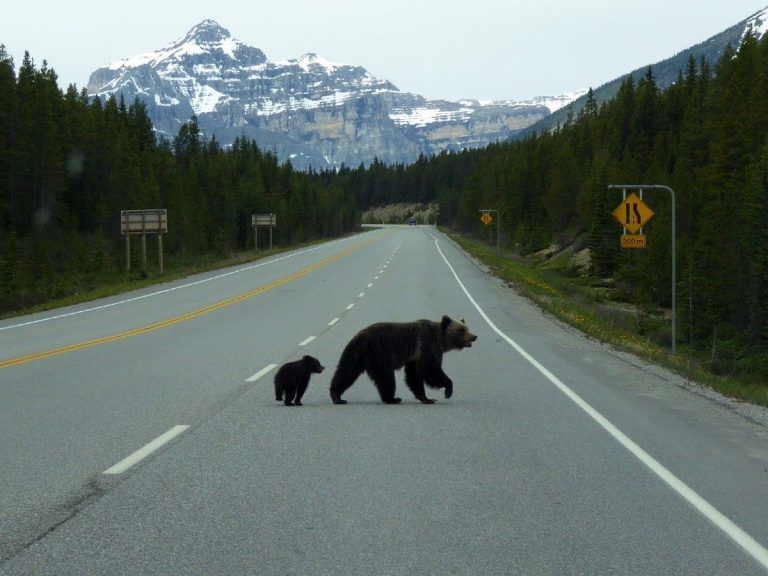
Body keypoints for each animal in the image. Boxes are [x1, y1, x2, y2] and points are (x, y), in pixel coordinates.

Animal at [329, 315, 477, 405]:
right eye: (462, 330)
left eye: (467, 328)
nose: (474, 336)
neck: (441, 340)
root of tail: (359, 336)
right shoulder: (428, 345)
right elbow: (430, 369)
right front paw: (447, 391)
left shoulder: (414, 357)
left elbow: (414, 375)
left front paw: (425, 397)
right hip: (379, 353)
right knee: (386, 377)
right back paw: (392, 398)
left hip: (355, 354)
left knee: (346, 371)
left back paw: (337, 396)